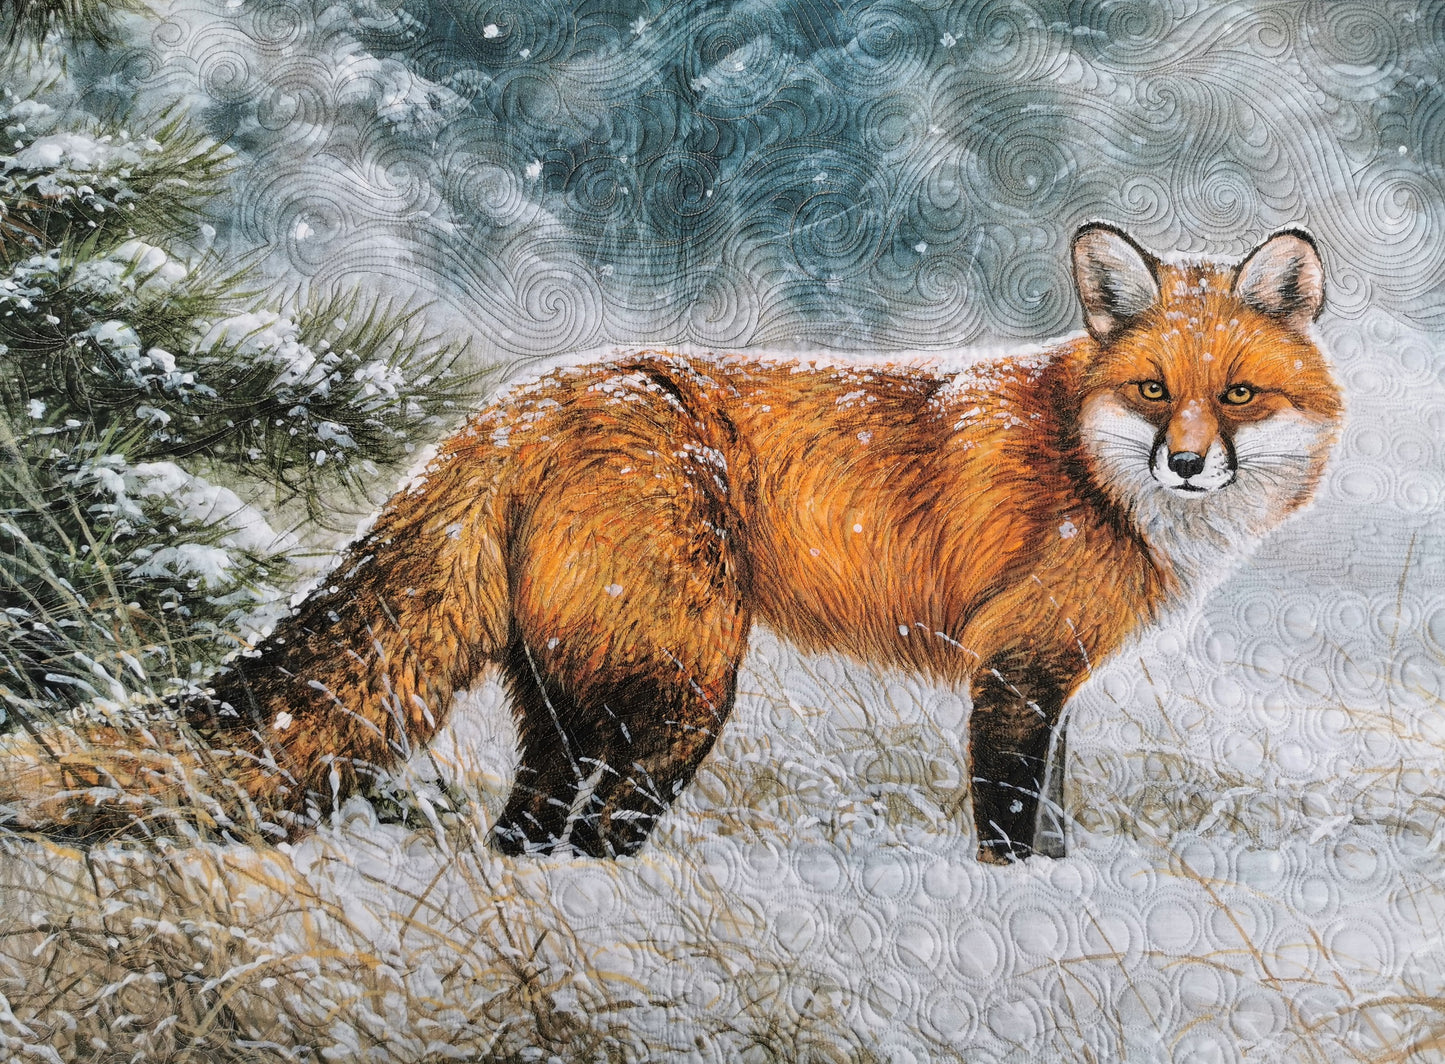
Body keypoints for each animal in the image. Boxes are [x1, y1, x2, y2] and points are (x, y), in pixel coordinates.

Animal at [0, 224, 1340, 863]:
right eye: (1154, 390)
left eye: (1235, 396)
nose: (1183, 462)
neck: (1090, 464)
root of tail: (517, 402)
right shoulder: (1012, 669)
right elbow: (1011, 825)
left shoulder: (1050, 679)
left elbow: (1053, 814)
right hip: (681, 693)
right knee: (596, 834)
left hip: (568, 703)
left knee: (521, 836)